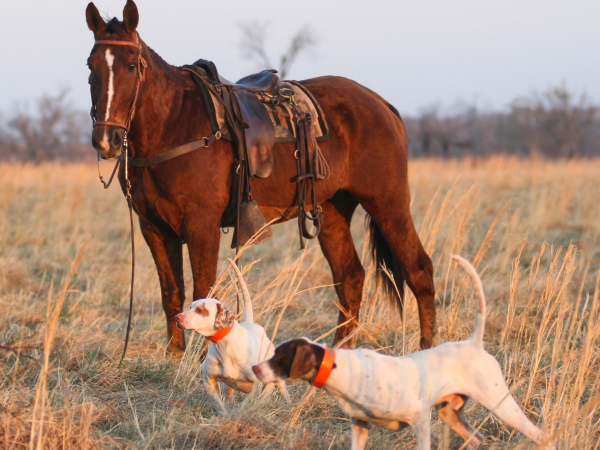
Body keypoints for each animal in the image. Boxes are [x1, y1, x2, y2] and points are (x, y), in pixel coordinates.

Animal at [85, 0, 436, 356]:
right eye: (91, 66)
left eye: (132, 66)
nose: (107, 140)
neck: (174, 124)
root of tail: (381, 104)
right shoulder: (154, 229)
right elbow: (172, 294)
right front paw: (174, 357)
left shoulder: (202, 224)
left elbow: (203, 291)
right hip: (333, 211)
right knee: (350, 277)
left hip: (388, 204)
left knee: (419, 270)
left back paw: (428, 347)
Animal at [175, 258, 290, 414]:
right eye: (190, 307)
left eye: (200, 310)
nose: (177, 317)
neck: (224, 346)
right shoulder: (209, 381)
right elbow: (220, 405)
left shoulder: (261, 383)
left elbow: (257, 400)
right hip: (227, 387)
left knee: (283, 391)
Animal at [251, 256, 556, 450]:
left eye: (279, 357)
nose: (254, 368)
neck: (342, 371)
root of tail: (474, 342)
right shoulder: (360, 425)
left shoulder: (419, 416)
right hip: (450, 412)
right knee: (476, 439)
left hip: (501, 405)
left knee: (541, 436)